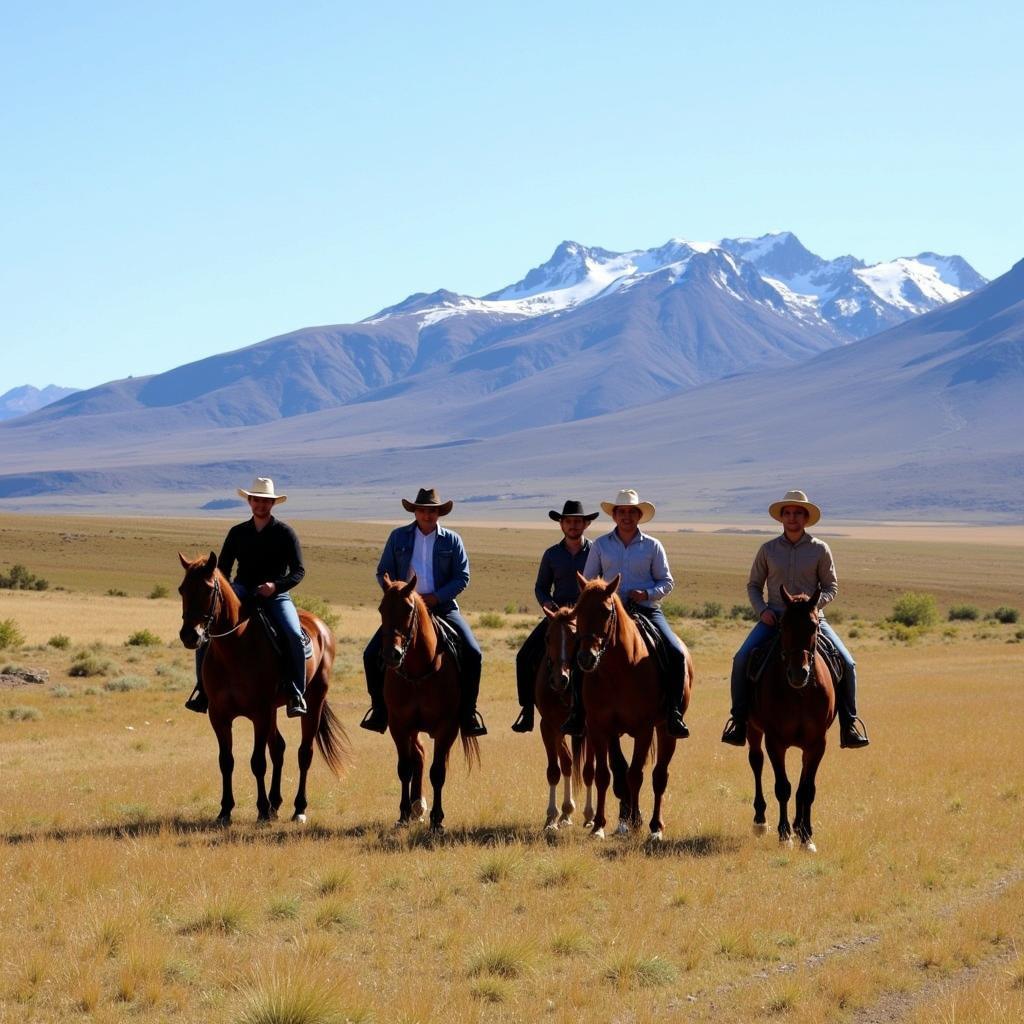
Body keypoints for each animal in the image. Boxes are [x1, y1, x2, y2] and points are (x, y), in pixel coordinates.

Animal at [178, 552, 350, 823]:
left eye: (207, 589)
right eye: (182, 589)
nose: (189, 635)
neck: (234, 648)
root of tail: (321, 626)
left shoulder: (259, 714)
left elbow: (258, 762)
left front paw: (260, 809)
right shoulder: (219, 716)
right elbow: (226, 761)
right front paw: (225, 811)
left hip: (312, 702)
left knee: (305, 753)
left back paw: (298, 809)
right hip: (273, 711)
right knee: (279, 748)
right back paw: (275, 804)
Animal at [378, 573, 481, 827]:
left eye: (408, 608)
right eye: (381, 608)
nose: (391, 655)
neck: (418, 672)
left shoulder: (447, 727)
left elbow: (438, 772)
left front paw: (437, 820)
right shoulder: (399, 725)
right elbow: (404, 768)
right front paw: (403, 814)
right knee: (419, 755)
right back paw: (416, 806)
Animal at [532, 606, 598, 831]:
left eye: (575, 637)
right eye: (547, 637)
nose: (559, 679)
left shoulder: (591, 729)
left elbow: (589, 771)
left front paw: (590, 815)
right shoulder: (549, 727)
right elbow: (555, 769)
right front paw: (552, 817)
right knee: (568, 762)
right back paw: (566, 812)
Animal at [573, 577, 692, 839]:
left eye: (606, 611)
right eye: (577, 610)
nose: (586, 658)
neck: (619, 670)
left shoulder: (644, 729)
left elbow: (635, 775)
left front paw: (637, 821)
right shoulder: (601, 728)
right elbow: (607, 774)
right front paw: (600, 825)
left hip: (666, 730)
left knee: (659, 776)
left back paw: (655, 826)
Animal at [749, 589, 835, 851]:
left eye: (814, 625)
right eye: (783, 625)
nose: (799, 674)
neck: (800, 693)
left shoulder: (817, 743)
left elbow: (806, 789)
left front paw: (806, 836)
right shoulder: (774, 741)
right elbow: (783, 787)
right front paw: (784, 834)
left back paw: (798, 826)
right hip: (752, 729)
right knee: (756, 762)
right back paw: (760, 821)